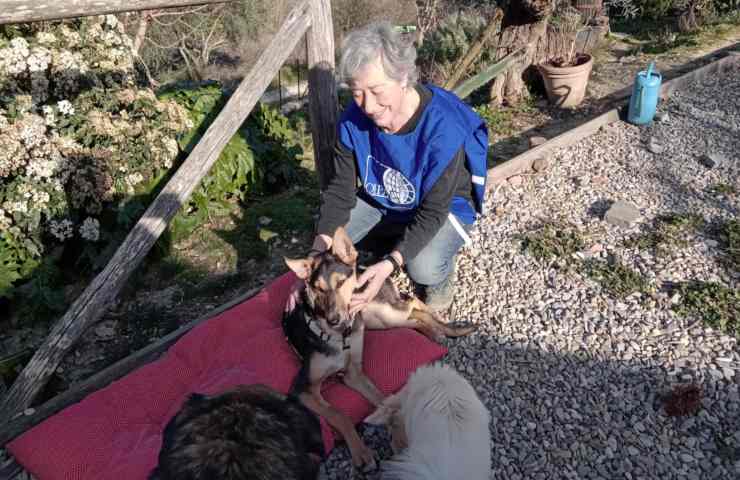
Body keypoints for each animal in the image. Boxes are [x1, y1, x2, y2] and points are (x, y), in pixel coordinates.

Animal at [284, 227, 474, 470]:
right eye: (318, 289)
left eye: (341, 282)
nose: (334, 319)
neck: (340, 336)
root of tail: (363, 267)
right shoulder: (308, 388)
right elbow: (341, 413)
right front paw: (363, 451)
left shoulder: (351, 372)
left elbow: (381, 400)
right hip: (377, 320)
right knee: (414, 318)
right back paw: (435, 332)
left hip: (380, 311)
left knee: (413, 303)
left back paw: (446, 327)